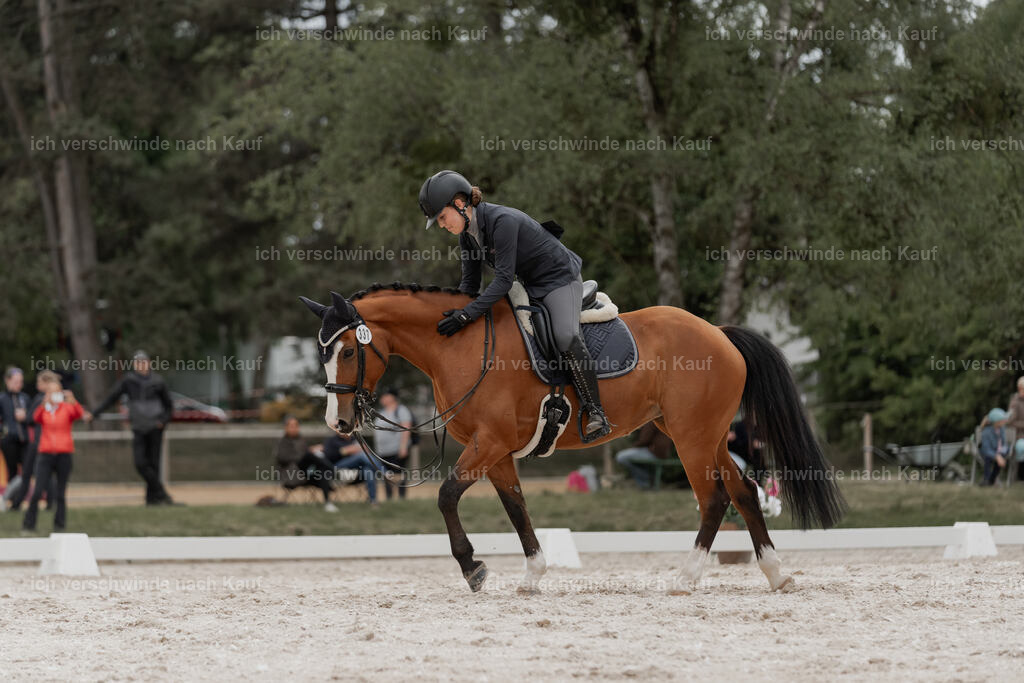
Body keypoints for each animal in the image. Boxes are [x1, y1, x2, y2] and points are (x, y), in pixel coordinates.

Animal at [300, 282, 845, 594]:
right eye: (323, 353)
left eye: (347, 351)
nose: (339, 423)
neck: (460, 346)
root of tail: (719, 332)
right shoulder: (496, 451)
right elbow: (516, 508)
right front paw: (532, 576)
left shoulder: (488, 444)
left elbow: (446, 496)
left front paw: (473, 569)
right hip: (704, 436)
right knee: (745, 492)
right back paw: (776, 574)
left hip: (691, 439)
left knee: (713, 499)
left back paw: (686, 578)